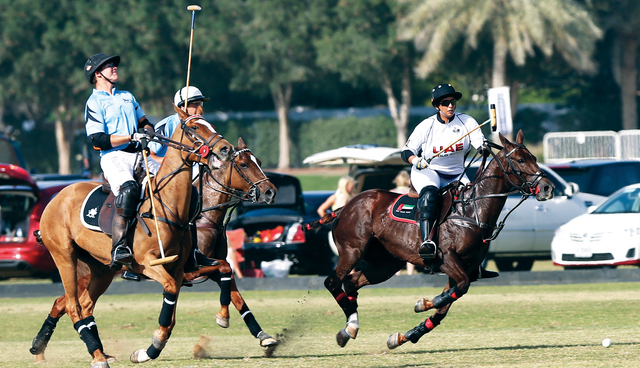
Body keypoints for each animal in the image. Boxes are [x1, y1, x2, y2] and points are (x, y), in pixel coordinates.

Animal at [29, 139, 280, 366]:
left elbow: (236, 295)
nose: (270, 192)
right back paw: (48, 350)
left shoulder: (204, 267)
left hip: (101, 270)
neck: (205, 217)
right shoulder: (191, 270)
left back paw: (72, 351)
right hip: (74, 266)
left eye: (258, 161)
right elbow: (225, 275)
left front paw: (263, 337)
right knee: (68, 304)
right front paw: (223, 318)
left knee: (77, 304)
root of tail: (57, 199)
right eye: (244, 164)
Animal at [37, 105, 232, 366]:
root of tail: (56, 197)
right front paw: (151, 347)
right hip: (64, 257)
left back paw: (97, 352)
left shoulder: (179, 269)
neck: (166, 205)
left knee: (86, 305)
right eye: (194, 127)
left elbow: (172, 312)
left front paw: (148, 350)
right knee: (72, 305)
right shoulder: (147, 263)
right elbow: (169, 293)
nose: (225, 149)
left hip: (101, 268)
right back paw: (91, 355)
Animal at [304, 131, 556, 350]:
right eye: (521, 160)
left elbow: (445, 306)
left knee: (351, 282)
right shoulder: (447, 259)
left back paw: (349, 328)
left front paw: (403, 336)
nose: (547, 188)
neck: (471, 211)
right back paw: (349, 326)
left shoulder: (466, 267)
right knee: (332, 282)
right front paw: (422, 303)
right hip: (352, 250)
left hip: (385, 264)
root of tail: (344, 207)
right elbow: (459, 288)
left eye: (534, 158)